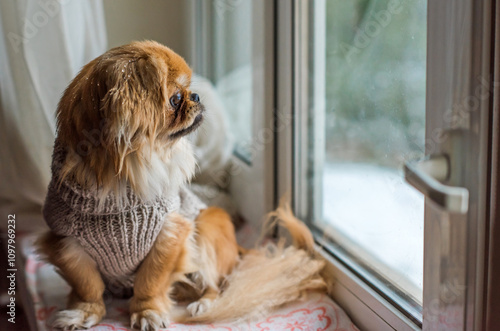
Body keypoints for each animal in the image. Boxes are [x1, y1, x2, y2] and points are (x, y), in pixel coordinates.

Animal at [38, 41, 328, 331]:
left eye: (187, 94)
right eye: (175, 99)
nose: (196, 96)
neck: (117, 186)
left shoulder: (169, 232)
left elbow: (150, 281)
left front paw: (147, 312)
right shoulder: (67, 244)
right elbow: (87, 286)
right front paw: (84, 312)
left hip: (207, 227)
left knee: (216, 285)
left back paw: (203, 304)